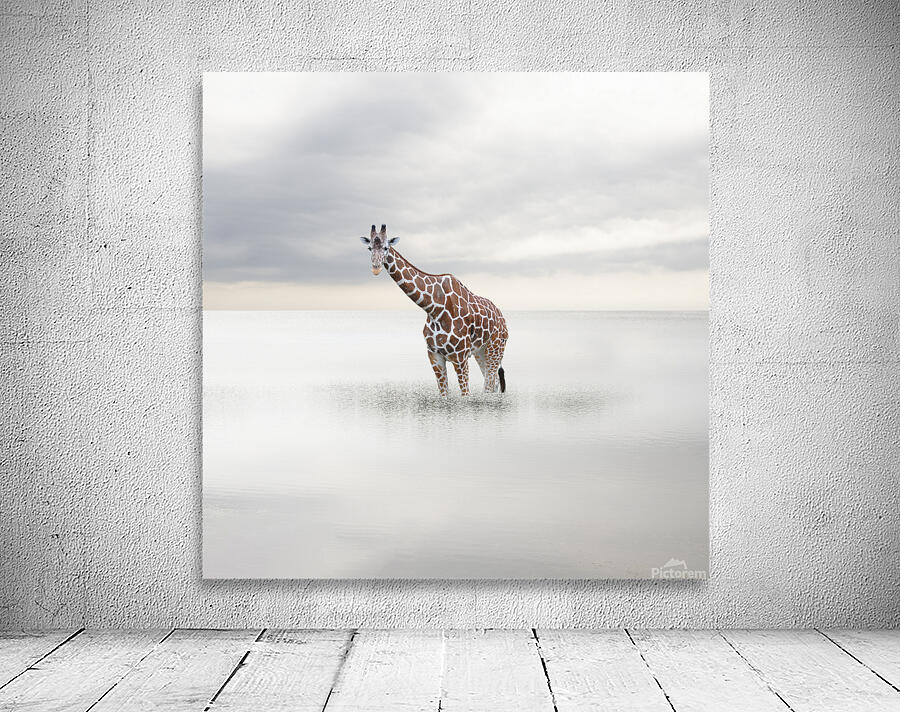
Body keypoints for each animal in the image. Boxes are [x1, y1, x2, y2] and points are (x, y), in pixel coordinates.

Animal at [360, 224, 508, 397]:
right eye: (370, 247)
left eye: (386, 247)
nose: (375, 268)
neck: (433, 308)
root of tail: (502, 318)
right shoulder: (434, 355)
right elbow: (444, 394)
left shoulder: (460, 357)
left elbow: (465, 393)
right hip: (481, 352)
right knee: (493, 382)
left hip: (495, 348)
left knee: (490, 384)